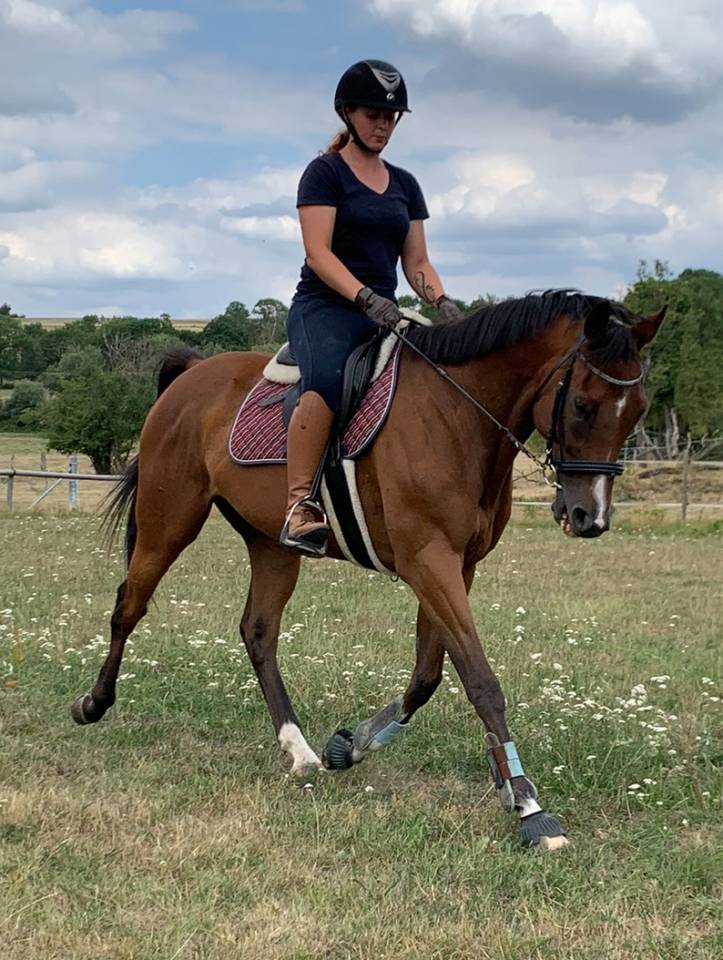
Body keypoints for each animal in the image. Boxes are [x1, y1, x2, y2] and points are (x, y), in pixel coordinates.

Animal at [72, 290, 665, 851]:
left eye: (636, 411)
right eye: (584, 405)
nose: (591, 518)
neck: (458, 416)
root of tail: (195, 371)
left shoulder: (457, 566)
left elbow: (427, 676)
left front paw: (350, 747)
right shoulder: (429, 561)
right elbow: (480, 680)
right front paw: (528, 807)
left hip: (272, 545)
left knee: (258, 631)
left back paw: (300, 750)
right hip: (168, 520)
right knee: (129, 605)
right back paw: (93, 703)